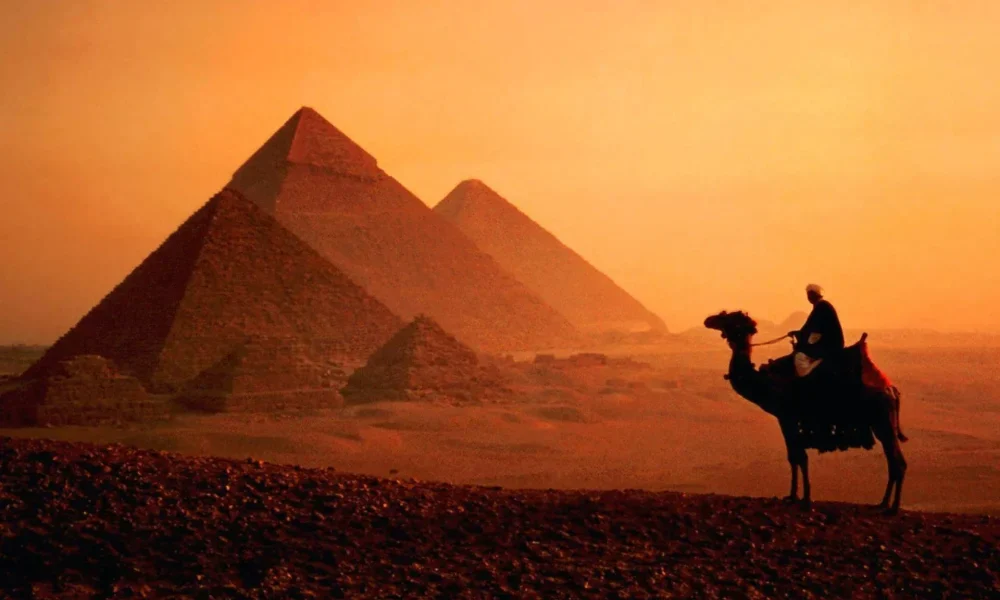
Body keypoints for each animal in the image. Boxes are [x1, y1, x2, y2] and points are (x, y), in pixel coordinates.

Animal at [703, 310, 908, 514]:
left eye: (728, 317)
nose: (708, 320)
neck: (768, 382)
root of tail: (891, 390)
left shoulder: (787, 417)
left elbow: (799, 457)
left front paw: (805, 498)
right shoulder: (786, 419)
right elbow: (794, 457)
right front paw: (792, 496)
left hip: (883, 422)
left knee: (897, 462)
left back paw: (893, 507)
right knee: (894, 462)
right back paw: (883, 503)